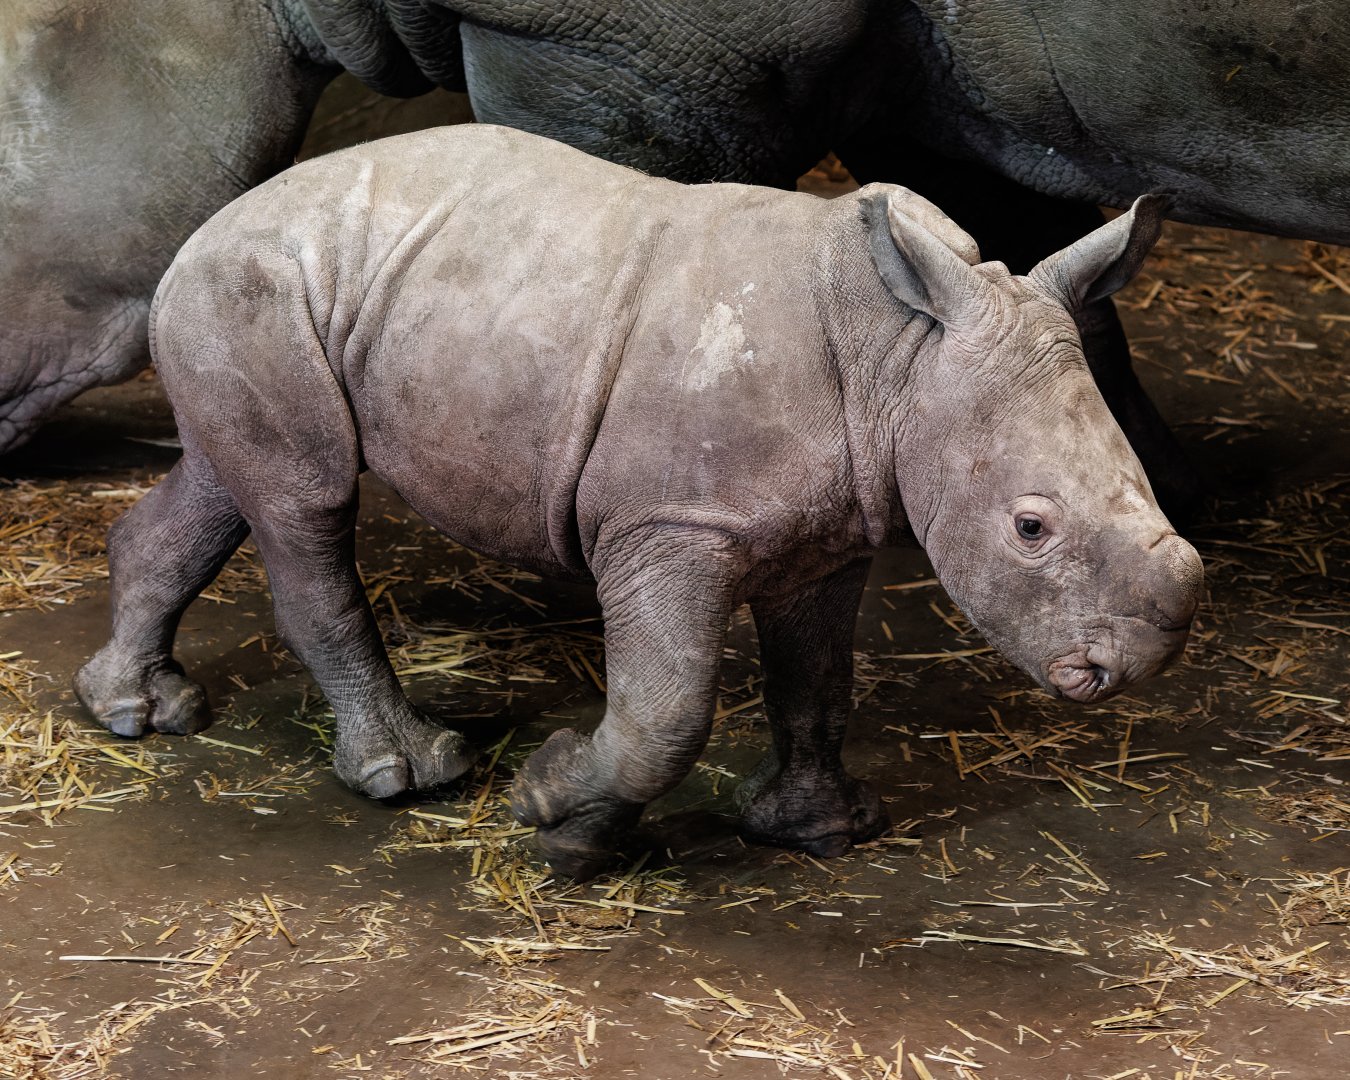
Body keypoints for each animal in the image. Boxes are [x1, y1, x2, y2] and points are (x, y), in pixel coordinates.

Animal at [74, 126, 1202, 879]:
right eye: (1030, 528)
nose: (1140, 662)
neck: (901, 353)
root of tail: (204, 226)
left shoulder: (834, 532)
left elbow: (817, 682)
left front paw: (819, 831)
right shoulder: (666, 528)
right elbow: (666, 710)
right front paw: (554, 814)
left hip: (267, 298)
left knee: (230, 484)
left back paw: (133, 711)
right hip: (255, 283)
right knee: (305, 502)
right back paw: (413, 771)